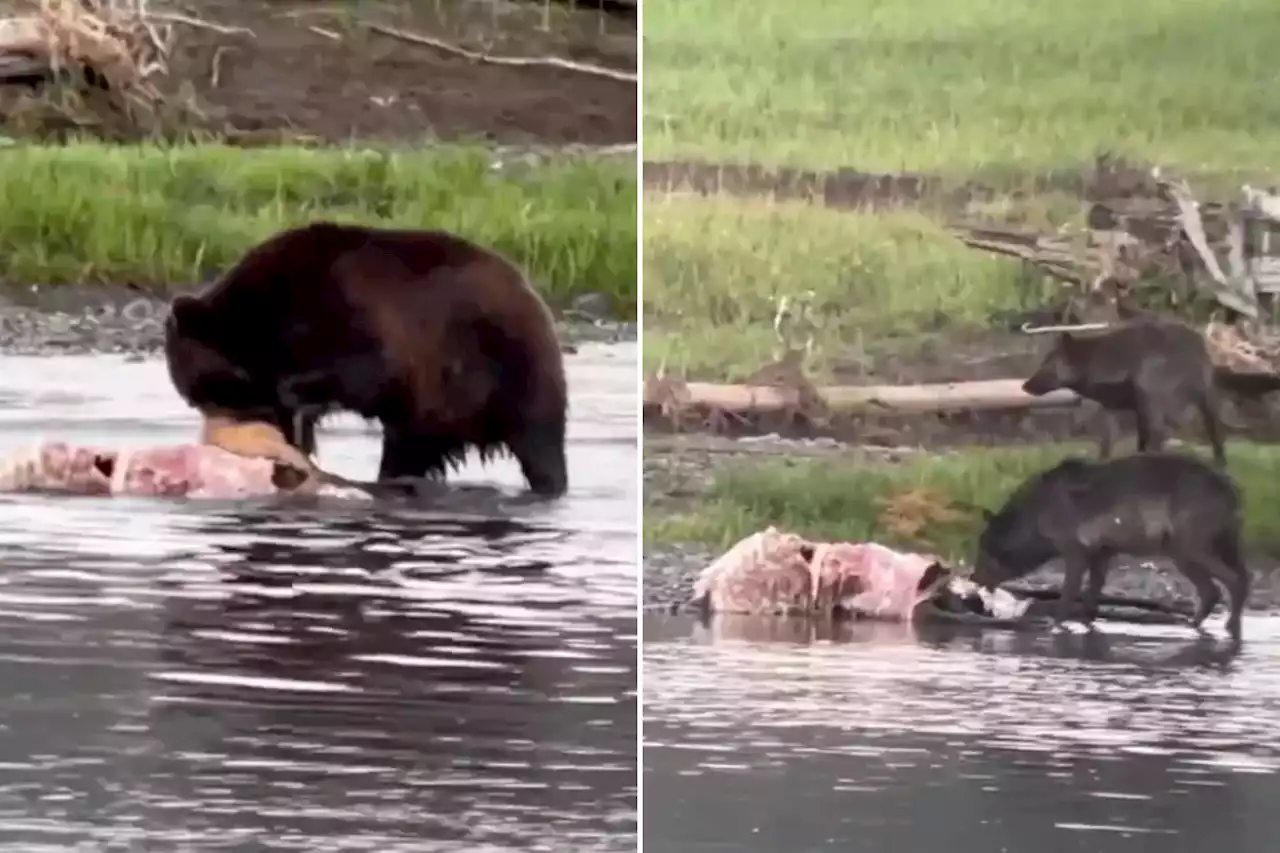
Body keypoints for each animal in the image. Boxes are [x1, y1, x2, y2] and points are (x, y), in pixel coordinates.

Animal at [161, 220, 570, 499]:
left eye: (208, 389)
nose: (217, 426)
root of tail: (528, 289)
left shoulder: (350, 312)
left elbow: (361, 368)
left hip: (506, 364)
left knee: (539, 442)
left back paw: (548, 485)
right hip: (435, 411)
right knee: (410, 450)